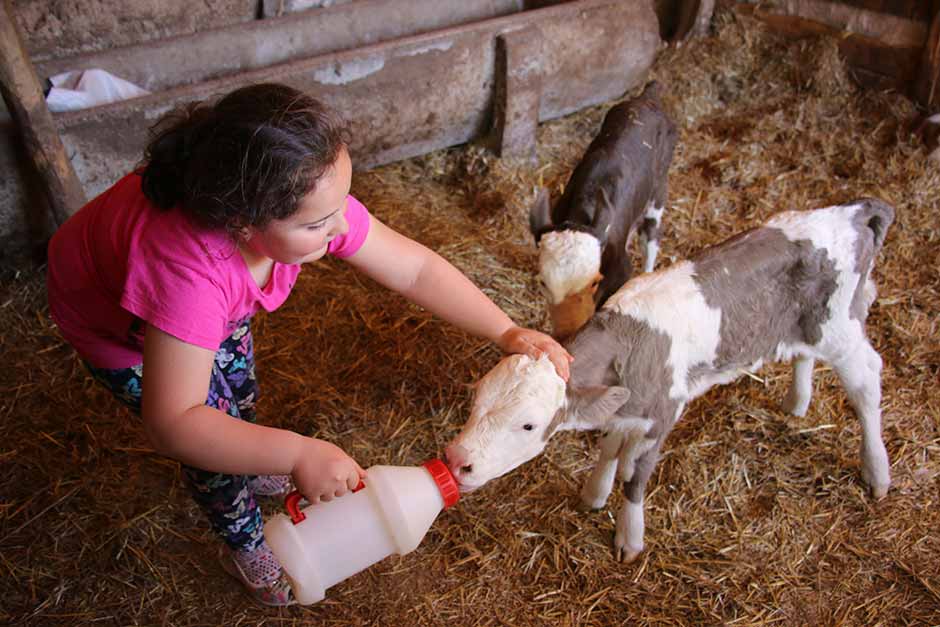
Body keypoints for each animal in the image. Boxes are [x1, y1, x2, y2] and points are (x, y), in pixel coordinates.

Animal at [448, 200, 896, 564]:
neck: (630, 342)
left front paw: (629, 538)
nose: (456, 460)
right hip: (805, 325)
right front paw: (595, 492)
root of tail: (855, 210)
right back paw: (797, 401)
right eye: (475, 402)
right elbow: (609, 446)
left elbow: (635, 475)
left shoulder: (663, 415)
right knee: (805, 353)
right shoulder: (625, 407)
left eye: (528, 425)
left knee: (868, 380)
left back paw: (876, 472)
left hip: (841, 327)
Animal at [528, 83, 676, 340]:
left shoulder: (622, 269)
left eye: (594, 282)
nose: (568, 333)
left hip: (658, 191)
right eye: (544, 283)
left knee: (651, 238)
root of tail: (647, 97)